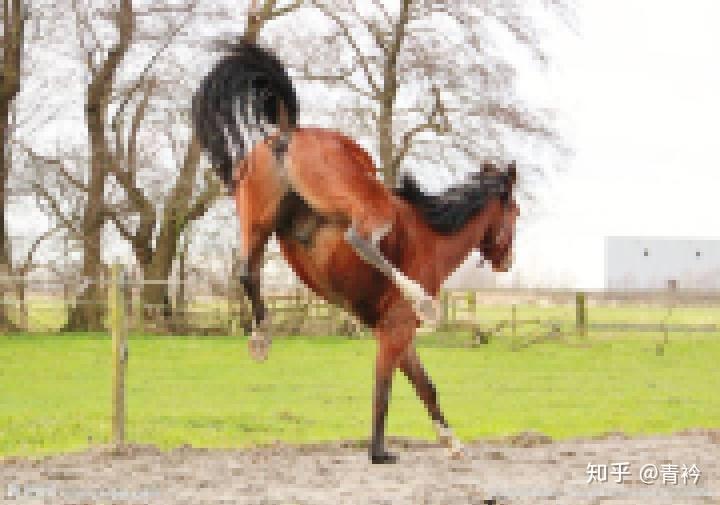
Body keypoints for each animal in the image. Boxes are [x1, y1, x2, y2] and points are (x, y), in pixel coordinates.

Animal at [192, 40, 520, 463]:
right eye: (516, 213)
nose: (507, 261)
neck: (433, 233)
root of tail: (288, 132)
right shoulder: (396, 330)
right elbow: (384, 388)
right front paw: (378, 451)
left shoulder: (399, 334)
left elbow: (425, 386)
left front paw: (451, 441)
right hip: (367, 204)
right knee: (358, 239)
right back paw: (420, 298)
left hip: (259, 221)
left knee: (247, 271)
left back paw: (261, 338)